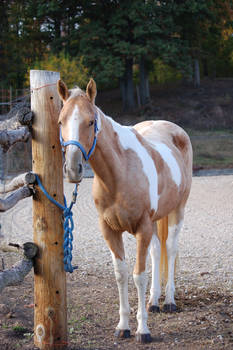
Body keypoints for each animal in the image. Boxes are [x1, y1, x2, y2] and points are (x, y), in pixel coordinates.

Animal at [57, 78, 192, 344]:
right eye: (60, 122)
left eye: (90, 121)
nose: (73, 169)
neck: (120, 174)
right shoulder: (110, 230)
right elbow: (121, 274)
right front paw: (123, 326)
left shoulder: (142, 227)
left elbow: (139, 275)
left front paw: (143, 330)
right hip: (156, 222)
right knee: (156, 251)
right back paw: (154, 301)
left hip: (177, 210)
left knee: (170, 249)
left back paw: (169, 301)